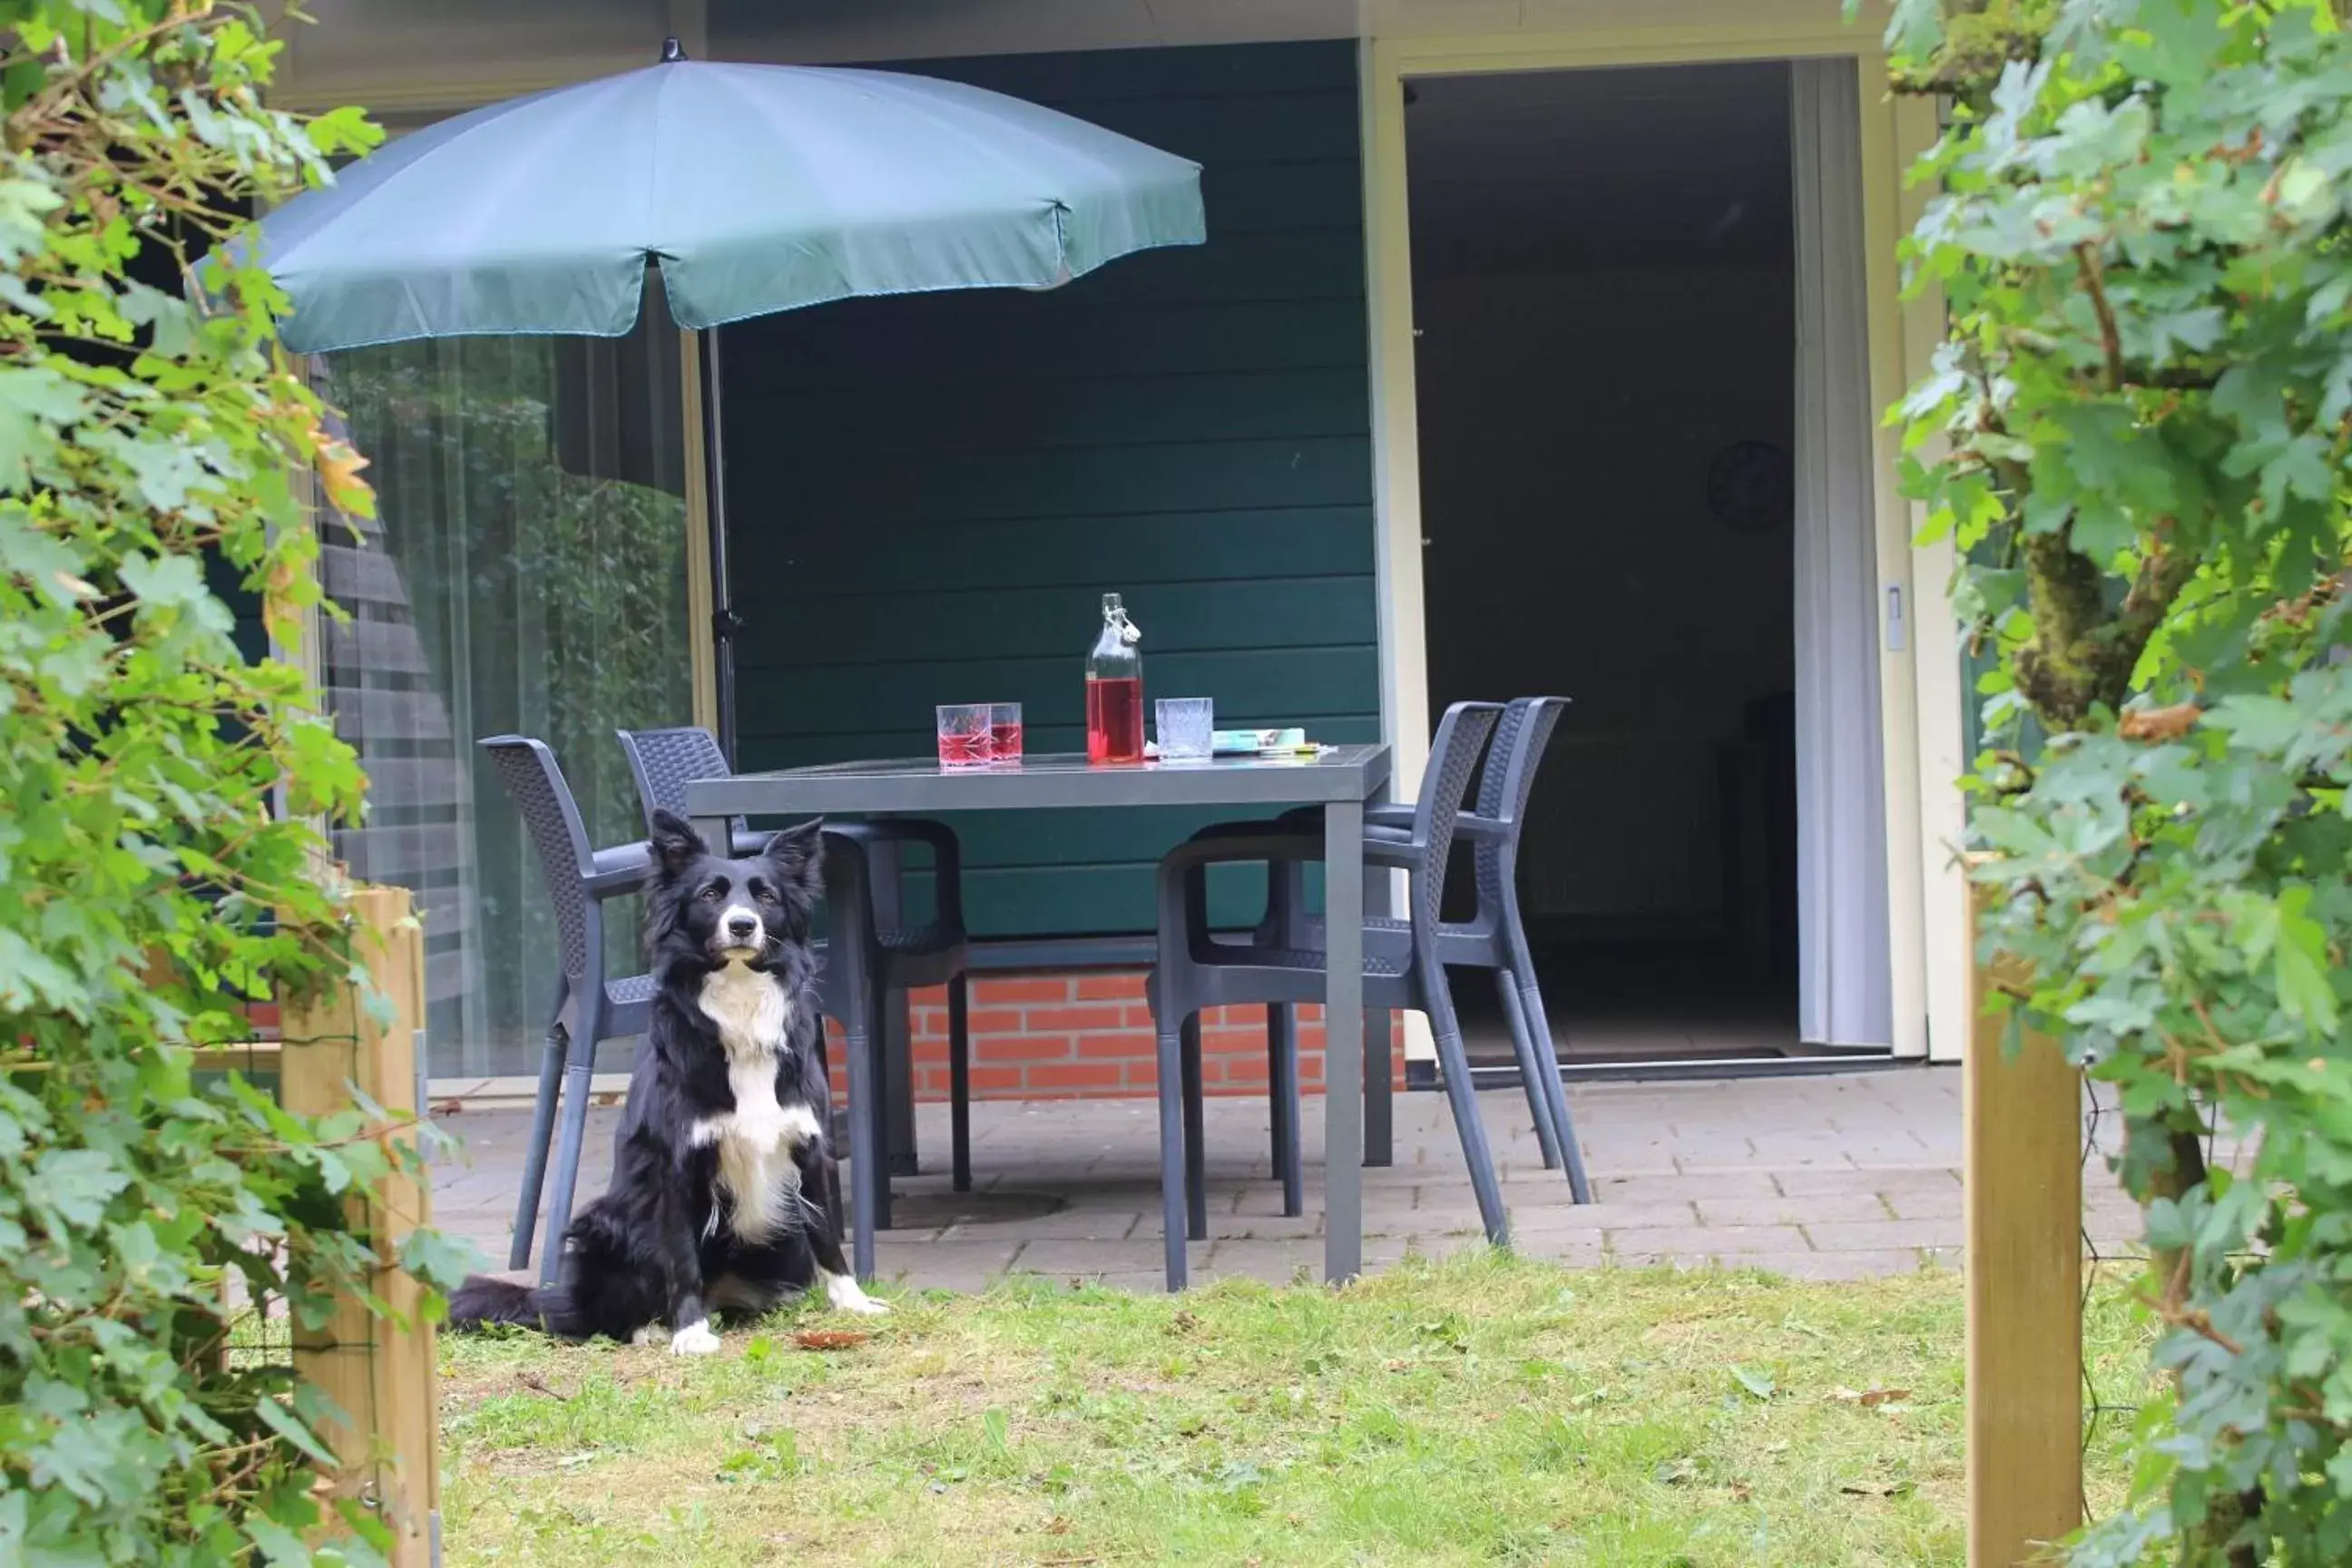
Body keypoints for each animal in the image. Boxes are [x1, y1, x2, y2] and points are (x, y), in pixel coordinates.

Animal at [446, 808, 884, 1354]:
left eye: (766, 897)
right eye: (710, 894)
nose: (743, 925)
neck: (739, 1007)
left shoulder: (810, 1145)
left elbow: (827, 1235)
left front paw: (853, 1303)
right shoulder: (676, 1167)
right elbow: (681, 1259)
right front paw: (690, 1333)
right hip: (602, 1223)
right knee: (602, 1316)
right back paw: (652, 1326)